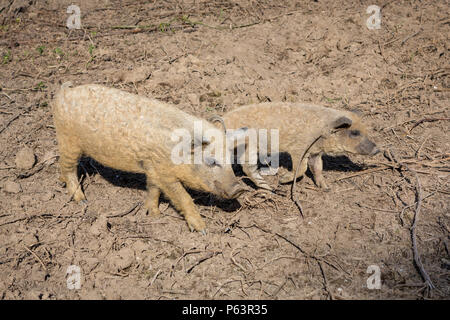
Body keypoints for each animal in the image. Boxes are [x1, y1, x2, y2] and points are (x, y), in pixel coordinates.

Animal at [53, 83, 250, 232]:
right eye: (211, 161)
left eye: (230, 161)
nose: (239, 189)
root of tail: (64, 91)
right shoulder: (165, 173)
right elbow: (183, 196)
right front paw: (202, 230)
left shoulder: (153, 168)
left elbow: (153, 189)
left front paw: (154, 214)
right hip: (68, 140)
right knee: (69, 167)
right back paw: (82, 200)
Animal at [214, 103, 380, 190]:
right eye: (355, 132)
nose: (377, 149)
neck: (321, 132)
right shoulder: (298, 149)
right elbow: (302, 169)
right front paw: (283, 180)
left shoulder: (315, 153)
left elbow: (318, 167)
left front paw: (325, 187)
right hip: (250, 146)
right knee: (247, 166)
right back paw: (269, 187)